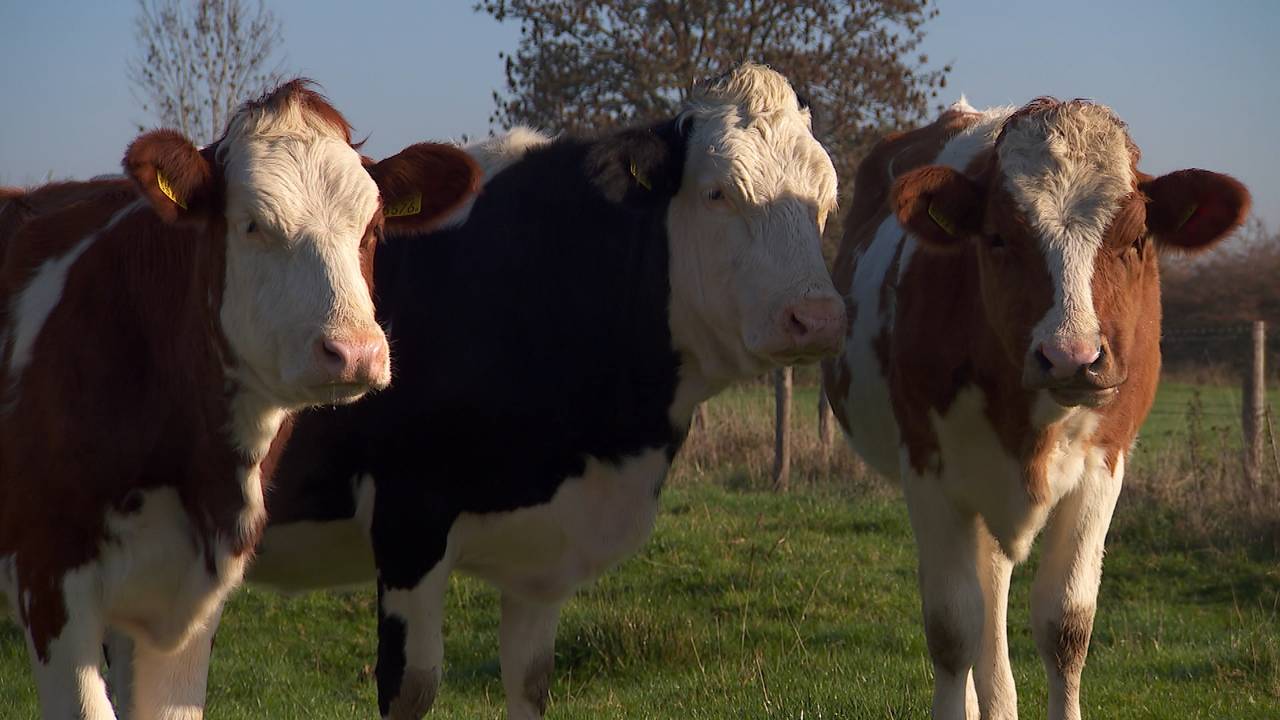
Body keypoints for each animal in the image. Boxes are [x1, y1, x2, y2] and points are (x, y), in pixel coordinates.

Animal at [152, 63, 844, 720]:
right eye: (718, 193)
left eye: (825, 201)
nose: (816, 317)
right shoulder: (409, 516)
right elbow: (412, 687)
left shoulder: (543, 551)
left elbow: (531, 680)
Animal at [822, 97, 1250, 720]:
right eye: (998, 237)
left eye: (1136, 239)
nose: (1071, 357)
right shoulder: (927, 470)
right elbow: (951, 628)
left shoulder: (1103, 467)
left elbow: (1065, 626)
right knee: (976, 608)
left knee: (993, 587)